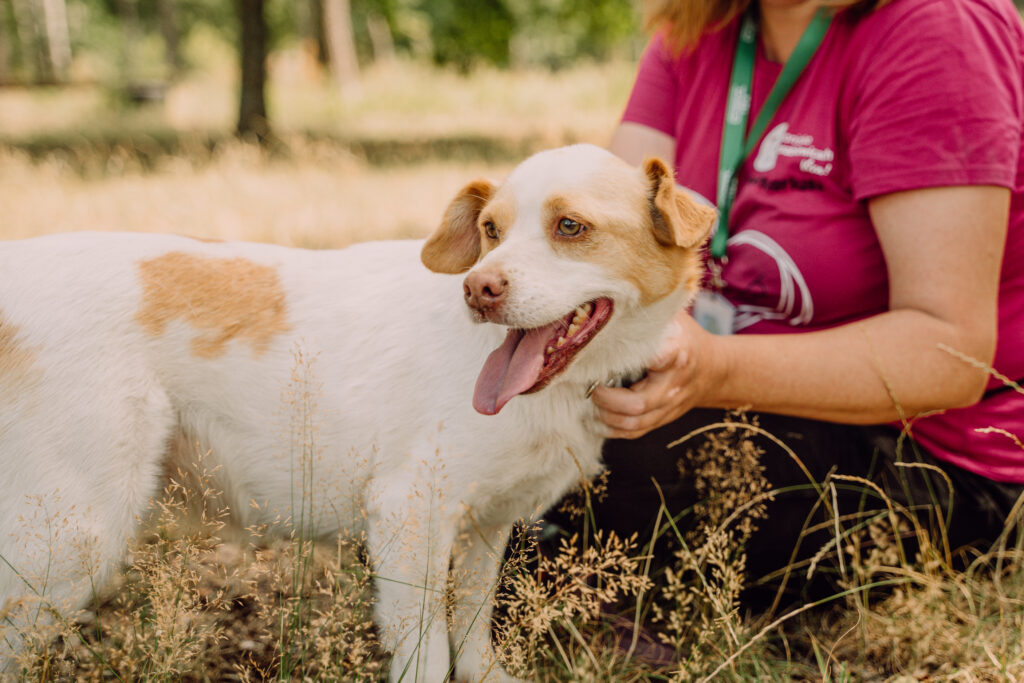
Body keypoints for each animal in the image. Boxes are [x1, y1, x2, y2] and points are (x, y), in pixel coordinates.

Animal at [0, 144, 712, 679]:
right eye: (491, 231)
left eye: (571, 228)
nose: (477, 289)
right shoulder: (408, 514)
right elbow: (425, 652)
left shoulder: (485, 527)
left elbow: (472, 627)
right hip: (70, 535)